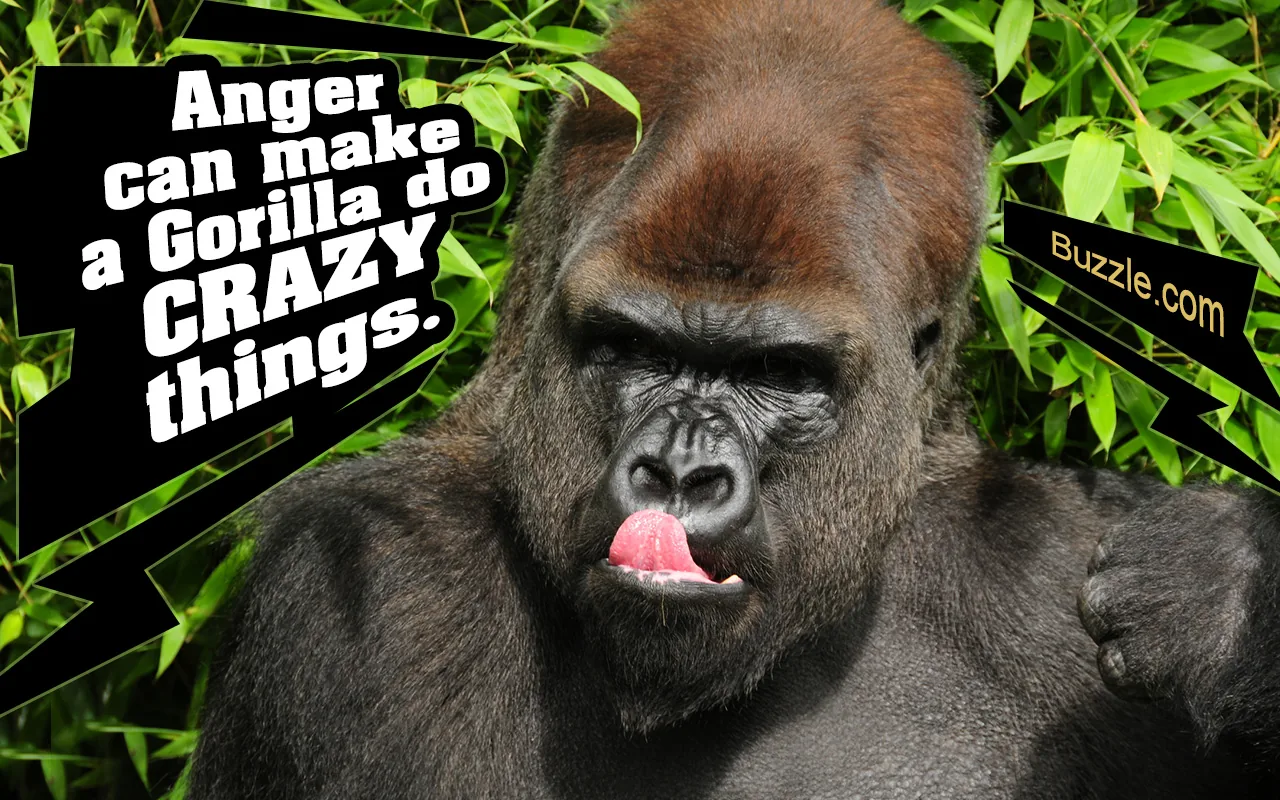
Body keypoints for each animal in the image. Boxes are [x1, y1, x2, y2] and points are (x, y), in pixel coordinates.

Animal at [186, 0, 1280, 797]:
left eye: (779, 375)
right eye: (633, 346)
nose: (678, 472)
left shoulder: (1059, 571)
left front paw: (1233, 604)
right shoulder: (345, 582)